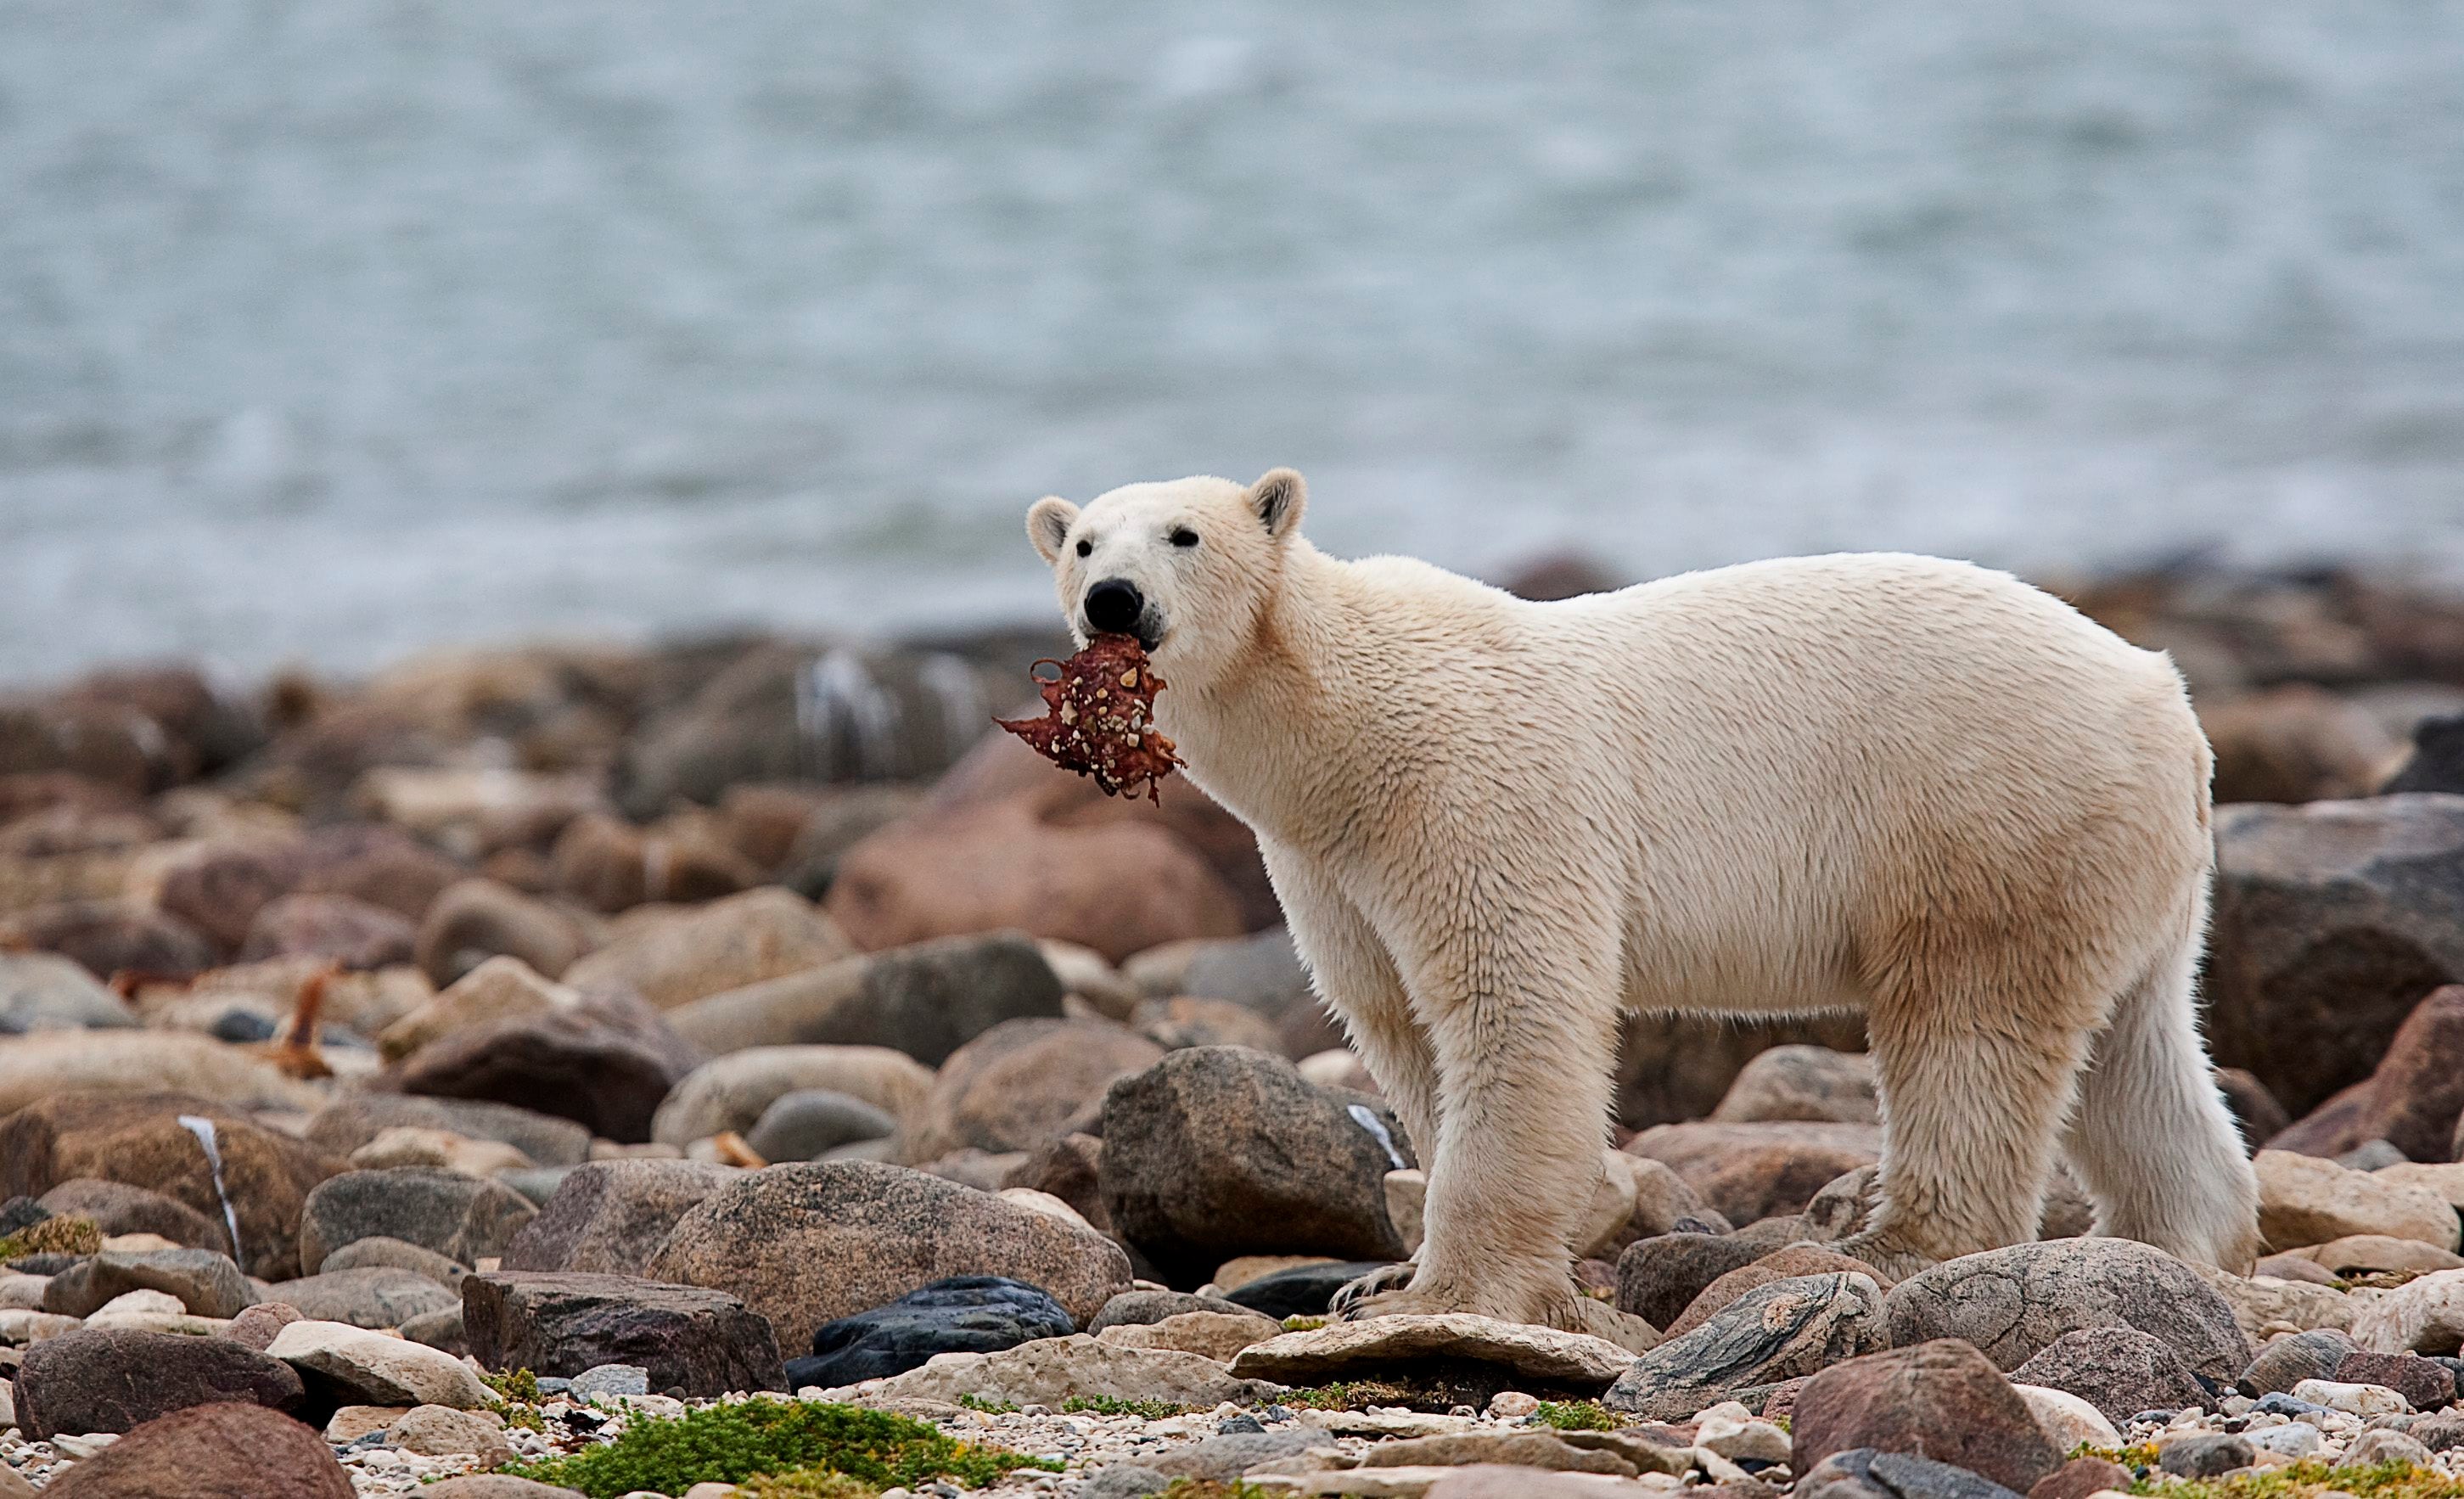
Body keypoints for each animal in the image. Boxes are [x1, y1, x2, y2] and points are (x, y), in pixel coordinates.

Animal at [1024, 465, 2266, 1331]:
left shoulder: (1473, 793)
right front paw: (1380, 1275)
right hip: (2115, 861)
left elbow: (1511, 1002)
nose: (1113, 599)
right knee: (2136, 1047)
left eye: (1183, 533)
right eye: (1081, 539)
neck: (1342, 724)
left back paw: (1893, 1247)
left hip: (1985, 815)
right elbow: (1397, 1024)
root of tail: (2163, 698)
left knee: (1967, 1025)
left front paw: (1443, 1288)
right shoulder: (1327, 863)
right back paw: (2174, 1240)